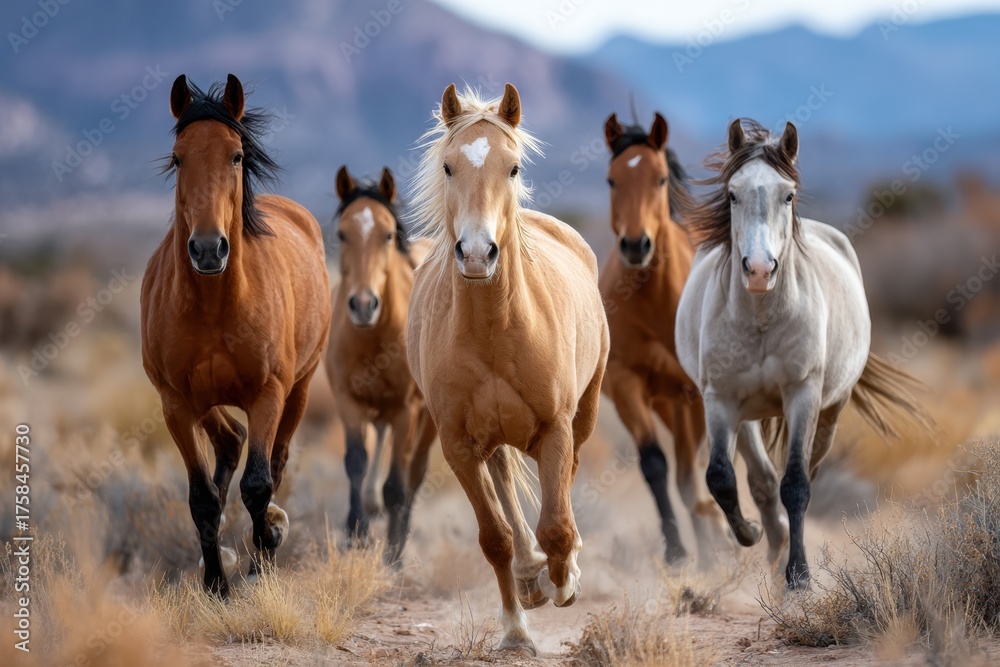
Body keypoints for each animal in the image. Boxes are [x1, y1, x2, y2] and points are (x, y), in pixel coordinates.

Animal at [141, 74, 331, 596]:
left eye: (236, 155)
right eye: (178, 157)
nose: (208, 249)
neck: (214, 305)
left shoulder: (267, 392)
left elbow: (259, 484)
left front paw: (265, 550)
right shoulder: (175, 402)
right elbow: (202, 497)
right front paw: (215, 585)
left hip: (299, 389)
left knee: (274, 459)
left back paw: (262, 551)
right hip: (202, 401)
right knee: (229, 440)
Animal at [324, 165, 437, 564]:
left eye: (387, 235)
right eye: (342, 234)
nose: (363, 305)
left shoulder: (407, 410)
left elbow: (397, 485)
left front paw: (391, 556)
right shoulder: (348, 403)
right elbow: (356, 463)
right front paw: (355, 535)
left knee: (414, 474)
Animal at [406, 83, 609, 655]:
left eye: (513, 167)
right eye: (448, 166)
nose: (477, 254)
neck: (496, 331)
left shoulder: (556, 426)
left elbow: (557, 525)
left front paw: (564, 582)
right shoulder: (456, 444)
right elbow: (493, 536)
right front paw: (517, 627)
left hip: (583, 414)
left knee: (566, 482)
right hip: (490, 437)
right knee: (504, 483)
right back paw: (527, 576)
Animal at [599, 111, 729, 567]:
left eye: (658, 179)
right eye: (612, 180)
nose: (636, 245)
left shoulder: (692, 394)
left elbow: (693, 475)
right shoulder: (627, 385)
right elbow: (655, 465)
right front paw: (677, 552)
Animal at [676, 119, 926, 588]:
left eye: (787, 195)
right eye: (732, 194)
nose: (759, 270)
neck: (760, 318)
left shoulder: (803, 394)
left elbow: (796, 484)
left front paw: (799, 577)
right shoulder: (719, 398)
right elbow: (721, 479)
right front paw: (751, 534)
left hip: (829, 411)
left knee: (805, 472)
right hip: (746, 414)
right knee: (759, 479)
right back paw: (771, 540)